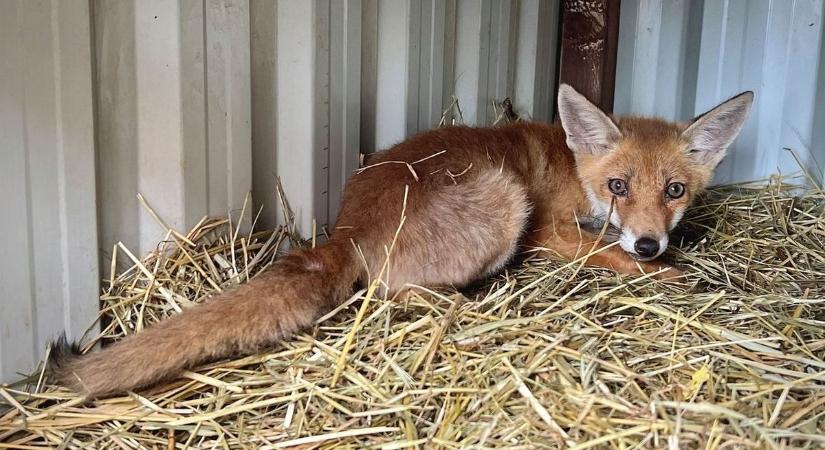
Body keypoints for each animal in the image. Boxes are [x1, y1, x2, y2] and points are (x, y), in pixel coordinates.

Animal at [48, 84, 748, 398]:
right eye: (620, 185)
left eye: (676, 191)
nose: (651, 243)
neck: (573, 169)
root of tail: (347, 228)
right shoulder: (550, 230)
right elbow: (608, 254)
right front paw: (665, 274)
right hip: (505, 202)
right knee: (392, 293)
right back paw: (473, 304)